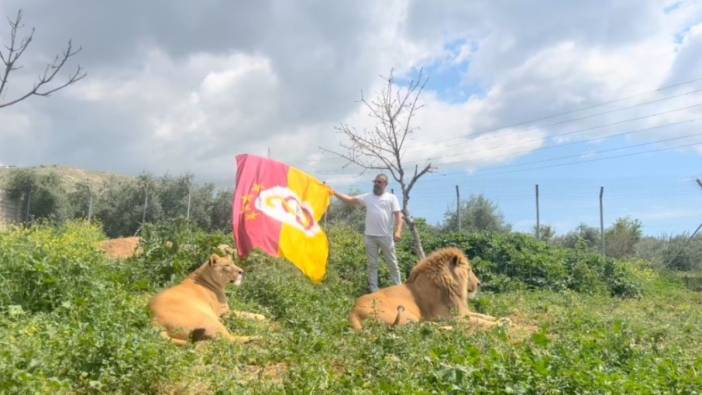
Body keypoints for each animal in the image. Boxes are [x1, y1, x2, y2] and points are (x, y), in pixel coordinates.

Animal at [350, 248, 506, 332]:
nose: (479, 283)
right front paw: (500, 324)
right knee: (416, 328)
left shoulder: (462, 312)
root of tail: (353, 313)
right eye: (469, 270)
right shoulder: (450, 317)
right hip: (406, 314)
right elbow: (479, 321)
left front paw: (503, 319)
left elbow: (484, 315)